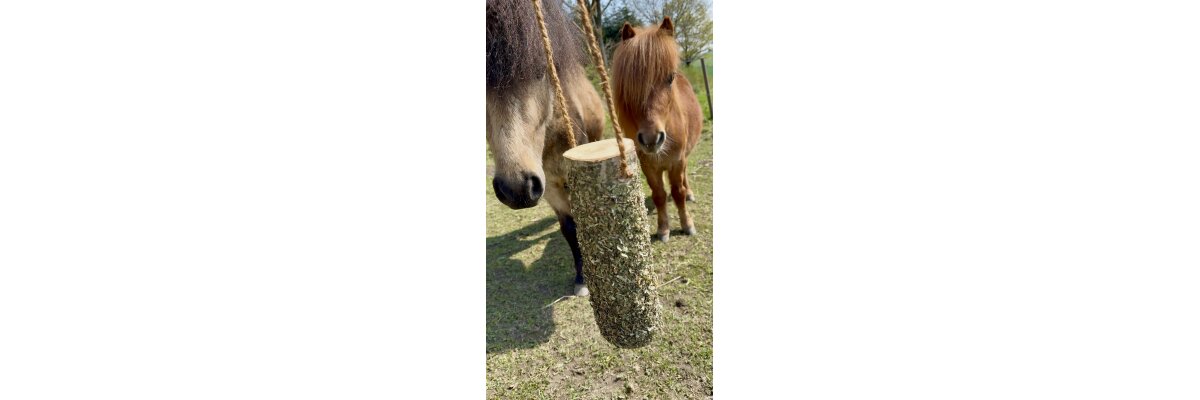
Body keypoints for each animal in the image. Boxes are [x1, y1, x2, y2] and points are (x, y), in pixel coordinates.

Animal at [611, 17, 705, 243]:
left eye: (670, 78)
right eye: (630, 83)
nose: (651, 139)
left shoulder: (677, 161)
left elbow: (678, 192)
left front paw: (687, 225)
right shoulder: (648, 166)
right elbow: (659, 194)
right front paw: (663, 229)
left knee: (684, 180)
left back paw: (689, 193)